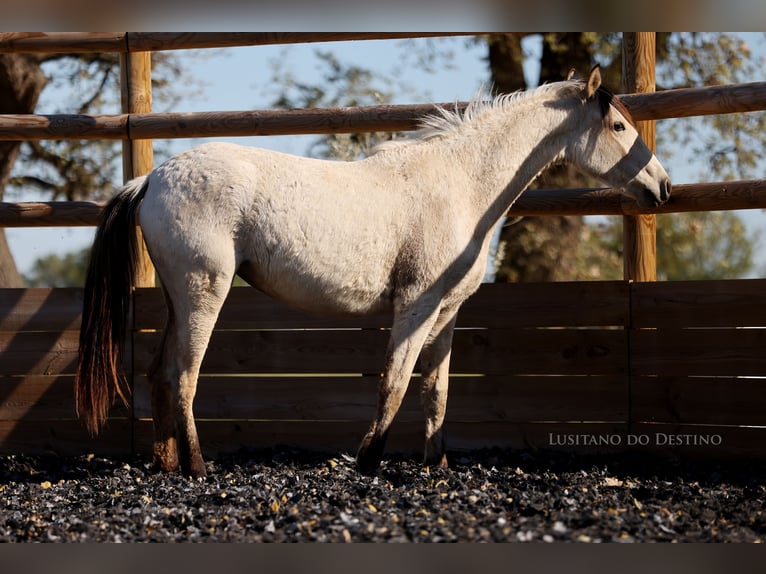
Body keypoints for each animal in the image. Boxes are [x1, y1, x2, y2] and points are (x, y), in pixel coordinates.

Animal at [75, 65, 670, 478]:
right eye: (618, 125)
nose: (662, 187)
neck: (462, 185)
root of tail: (152, 179)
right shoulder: (415, 306)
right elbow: (396, 383)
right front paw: (369, 461)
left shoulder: (448, 313)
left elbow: (436, 391)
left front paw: (436, 466)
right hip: (205, 293)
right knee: (183, 376)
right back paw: (199, 470)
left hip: (179, 298)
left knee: (159, 374)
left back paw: (167, 466)